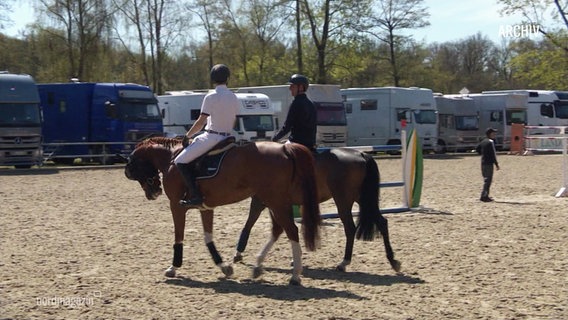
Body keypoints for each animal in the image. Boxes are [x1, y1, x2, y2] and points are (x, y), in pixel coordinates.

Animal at [123, 137, 320, 284]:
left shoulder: (176, 206)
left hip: (275, 201)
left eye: (134, 169)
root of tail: (284, 148)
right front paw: (224, 267)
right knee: (279, 229)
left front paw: (173, 267)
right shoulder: (205, 207)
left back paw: (295, 275)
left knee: (291, 230)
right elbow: (208, 238)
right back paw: (258, 266)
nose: (153, 192)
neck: (172, 159)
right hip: (273, 201)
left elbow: (178, 236)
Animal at [233, 147, 402, 272]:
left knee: (350, 228)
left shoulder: (261, 201)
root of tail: (361, 154)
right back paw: (393, 260)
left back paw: (344, 263)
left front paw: (238, 253)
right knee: (382, 222)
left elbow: (249, 223)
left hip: (343, 200)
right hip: (362, 198)